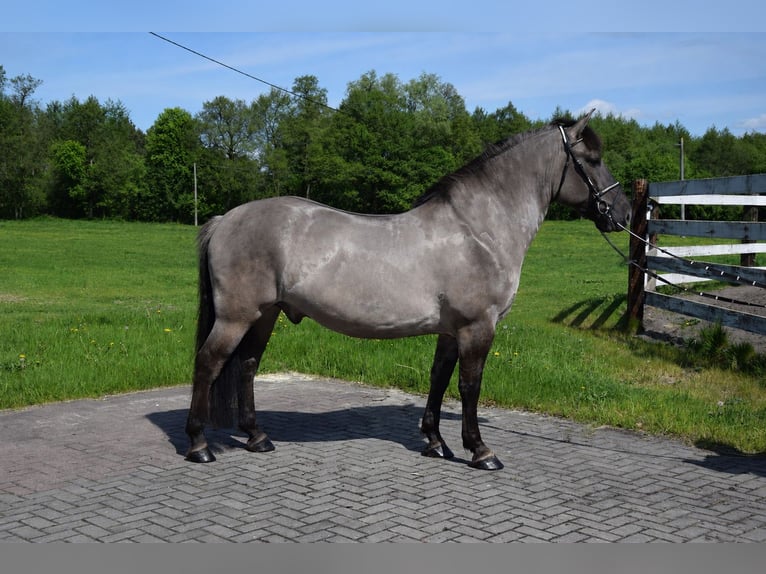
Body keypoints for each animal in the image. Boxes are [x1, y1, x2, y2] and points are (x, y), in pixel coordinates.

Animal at [185, 110, 631, 470]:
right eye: (591, 160)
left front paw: (435, 442)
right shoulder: (477, 327)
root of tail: (225, 219)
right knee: (207, 364)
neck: (477, 230)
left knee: (247, 366)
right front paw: (480, 451)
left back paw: (257, 437)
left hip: (265, 314)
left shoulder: (451, 330)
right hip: (236, 317)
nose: (623, 214)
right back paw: (199, 445)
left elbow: (439, 379)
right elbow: (470, 385)